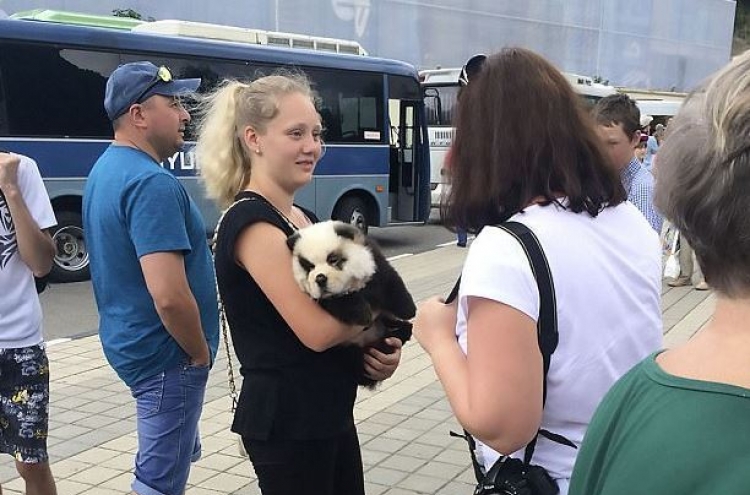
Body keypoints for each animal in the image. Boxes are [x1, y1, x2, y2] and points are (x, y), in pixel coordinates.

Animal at [288, 221, 418, 388]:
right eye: (308, 266)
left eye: (333, 259)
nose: (320, 279)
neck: (352, 285)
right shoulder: (323, 298)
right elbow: (340, 302)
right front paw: (363, 314)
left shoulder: (372, 257)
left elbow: (389, 279)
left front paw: (409, 309)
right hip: (346, 350)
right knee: (359, 360)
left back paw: (399, 327)